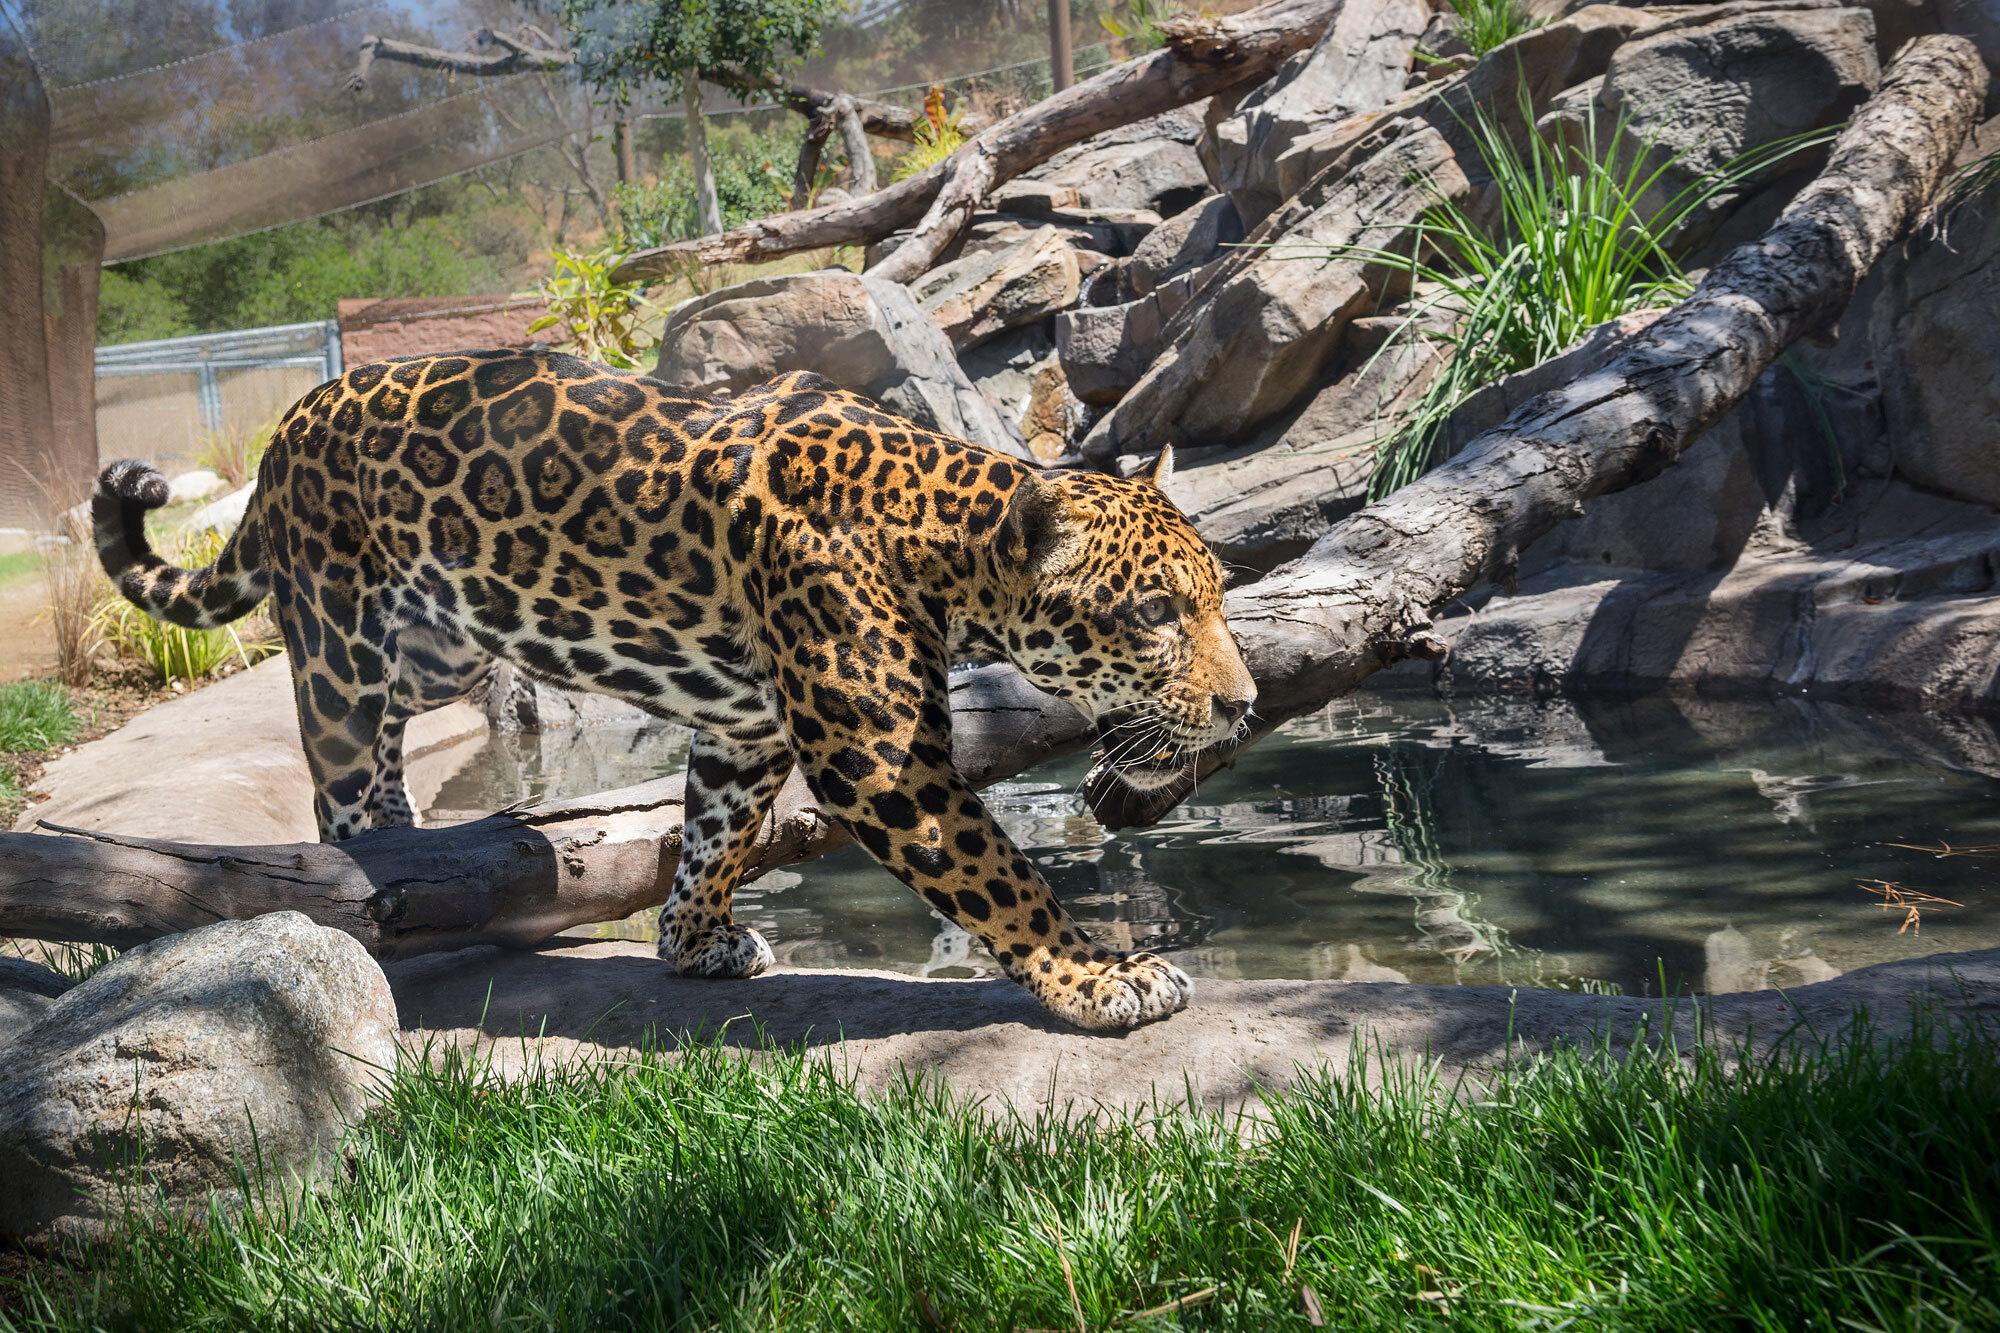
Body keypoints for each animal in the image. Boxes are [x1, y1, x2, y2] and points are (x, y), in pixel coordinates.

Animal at [93, 349, 1256, 1031]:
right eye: (1157, 613)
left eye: (1213, 597)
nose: (1241, 703)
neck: (939, 536)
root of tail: (287, 425)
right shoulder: (884, 762)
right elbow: (1003, 878)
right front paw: (1101, 977)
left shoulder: (746, 729)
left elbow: (711, 832)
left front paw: (694, 941)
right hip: (342, 641)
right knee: (331, 764)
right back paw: (371, 867)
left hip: (443, 644)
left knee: (388, 735)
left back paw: (403, 824)